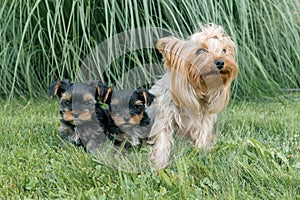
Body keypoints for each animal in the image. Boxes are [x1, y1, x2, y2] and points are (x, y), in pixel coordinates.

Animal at [148, 24, 239, 170]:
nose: (220, 62)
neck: (197, 90)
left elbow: (202, 136)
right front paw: (159, 166)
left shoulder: (204, 120)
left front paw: (201, 153)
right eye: (201, 50)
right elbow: (162, 140)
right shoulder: (165, 117)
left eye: (224, 50)